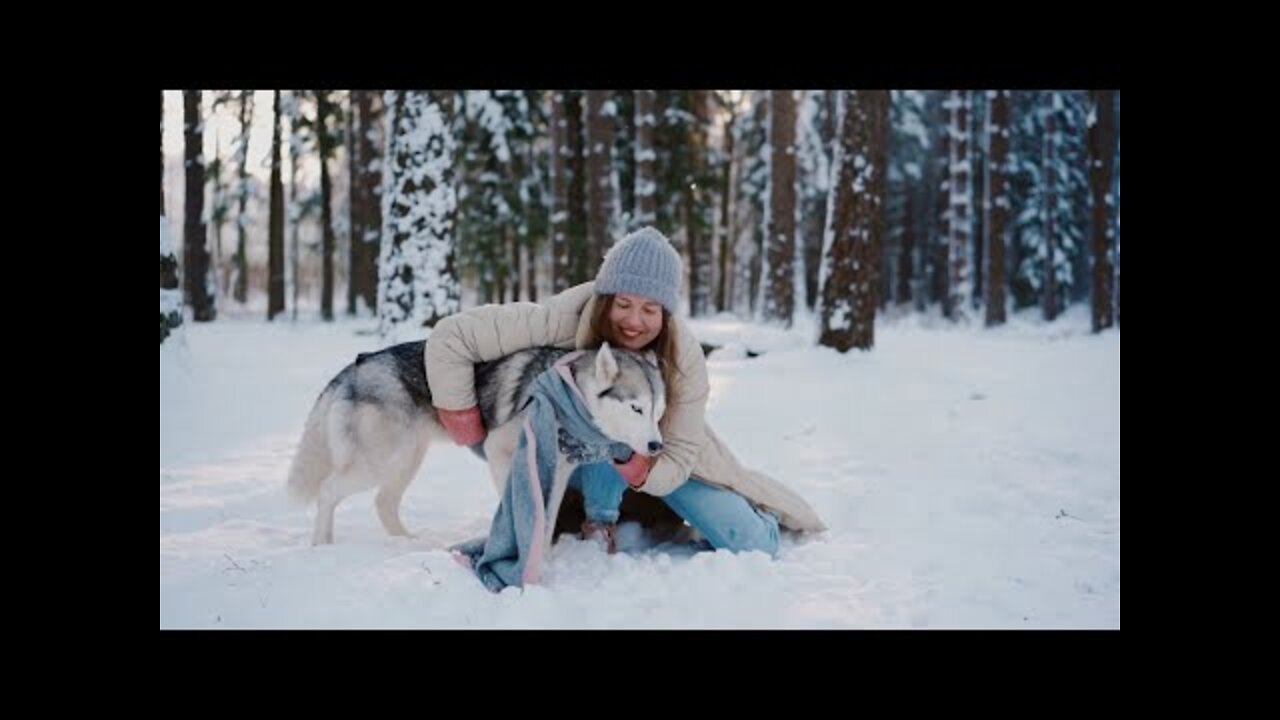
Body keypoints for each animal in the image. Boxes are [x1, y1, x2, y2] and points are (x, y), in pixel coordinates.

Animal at [285, 340, 665, 543]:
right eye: (636, 408)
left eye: (658, 411)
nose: (657, 447)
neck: (569, 398)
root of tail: (358, 364)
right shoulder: (501, 452)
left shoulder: (557, 473)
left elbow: (547, 517)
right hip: (377, 462)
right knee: (329, 491)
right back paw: (322, 545)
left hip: (405, 460)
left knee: (383, 502)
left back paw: (405, 542)